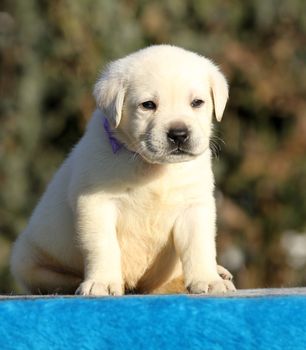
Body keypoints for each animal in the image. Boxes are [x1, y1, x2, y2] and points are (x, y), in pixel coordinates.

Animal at [9, 44, 234, 296]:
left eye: (197, 102)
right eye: (148, 105)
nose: (179, 134)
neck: (153, 168)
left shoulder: (194, 205)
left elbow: (199, 246)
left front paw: (208, 280)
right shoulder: (96, 203)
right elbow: (103, 246)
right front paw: (103, 283)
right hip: (26, 258)